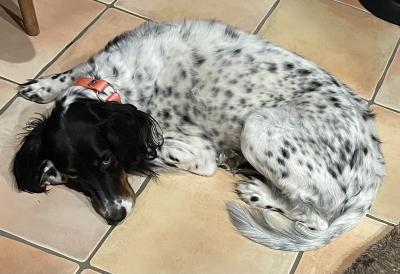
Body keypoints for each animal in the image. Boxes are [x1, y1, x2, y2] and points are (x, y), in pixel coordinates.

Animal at [12, 20, 384, 252]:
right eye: (76, 175)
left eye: (106, 160)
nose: (115, 216)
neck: (112, 84)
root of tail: (375, 160)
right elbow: (67, 75)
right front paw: (41, 86)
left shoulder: (197, 150)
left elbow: (158, 152)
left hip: (258, 128)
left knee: (317, 217)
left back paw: (258, 191)